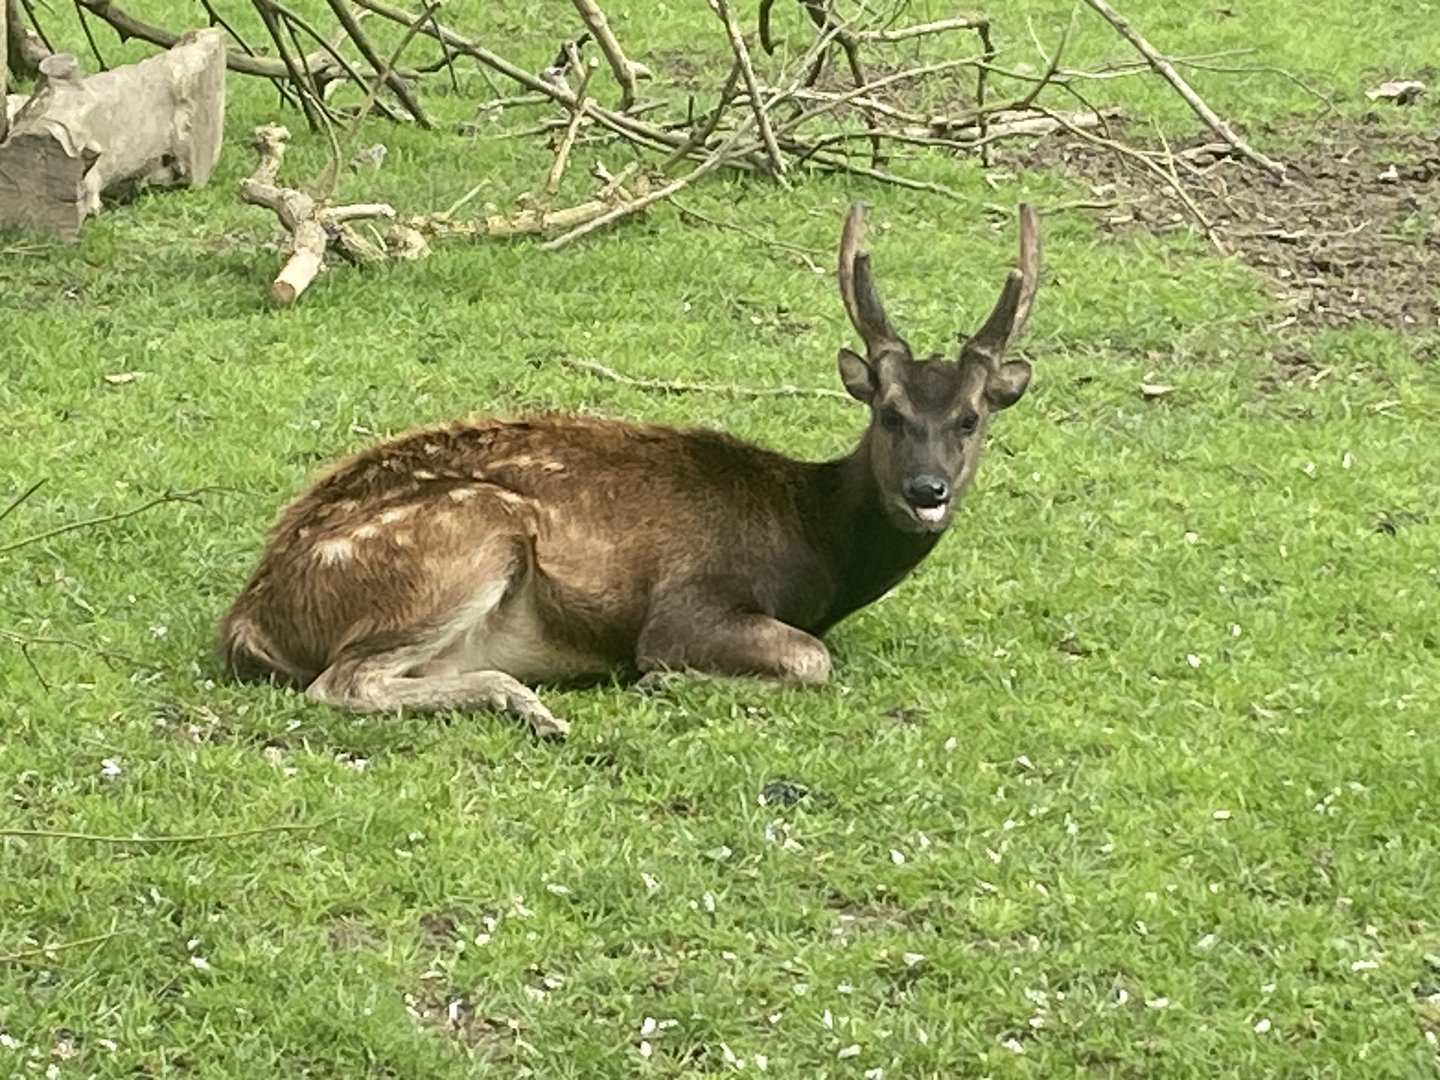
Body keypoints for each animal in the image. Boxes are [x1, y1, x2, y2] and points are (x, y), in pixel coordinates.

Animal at [218, 202, 1041, 738]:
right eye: (890, 413)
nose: (927, 491)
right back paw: (529, 705)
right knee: (340, 681)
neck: (814, 549)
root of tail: (250, 618)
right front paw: (667, 676)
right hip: (470, 529)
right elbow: (810, 657)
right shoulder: (690, 602)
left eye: (970, 417)